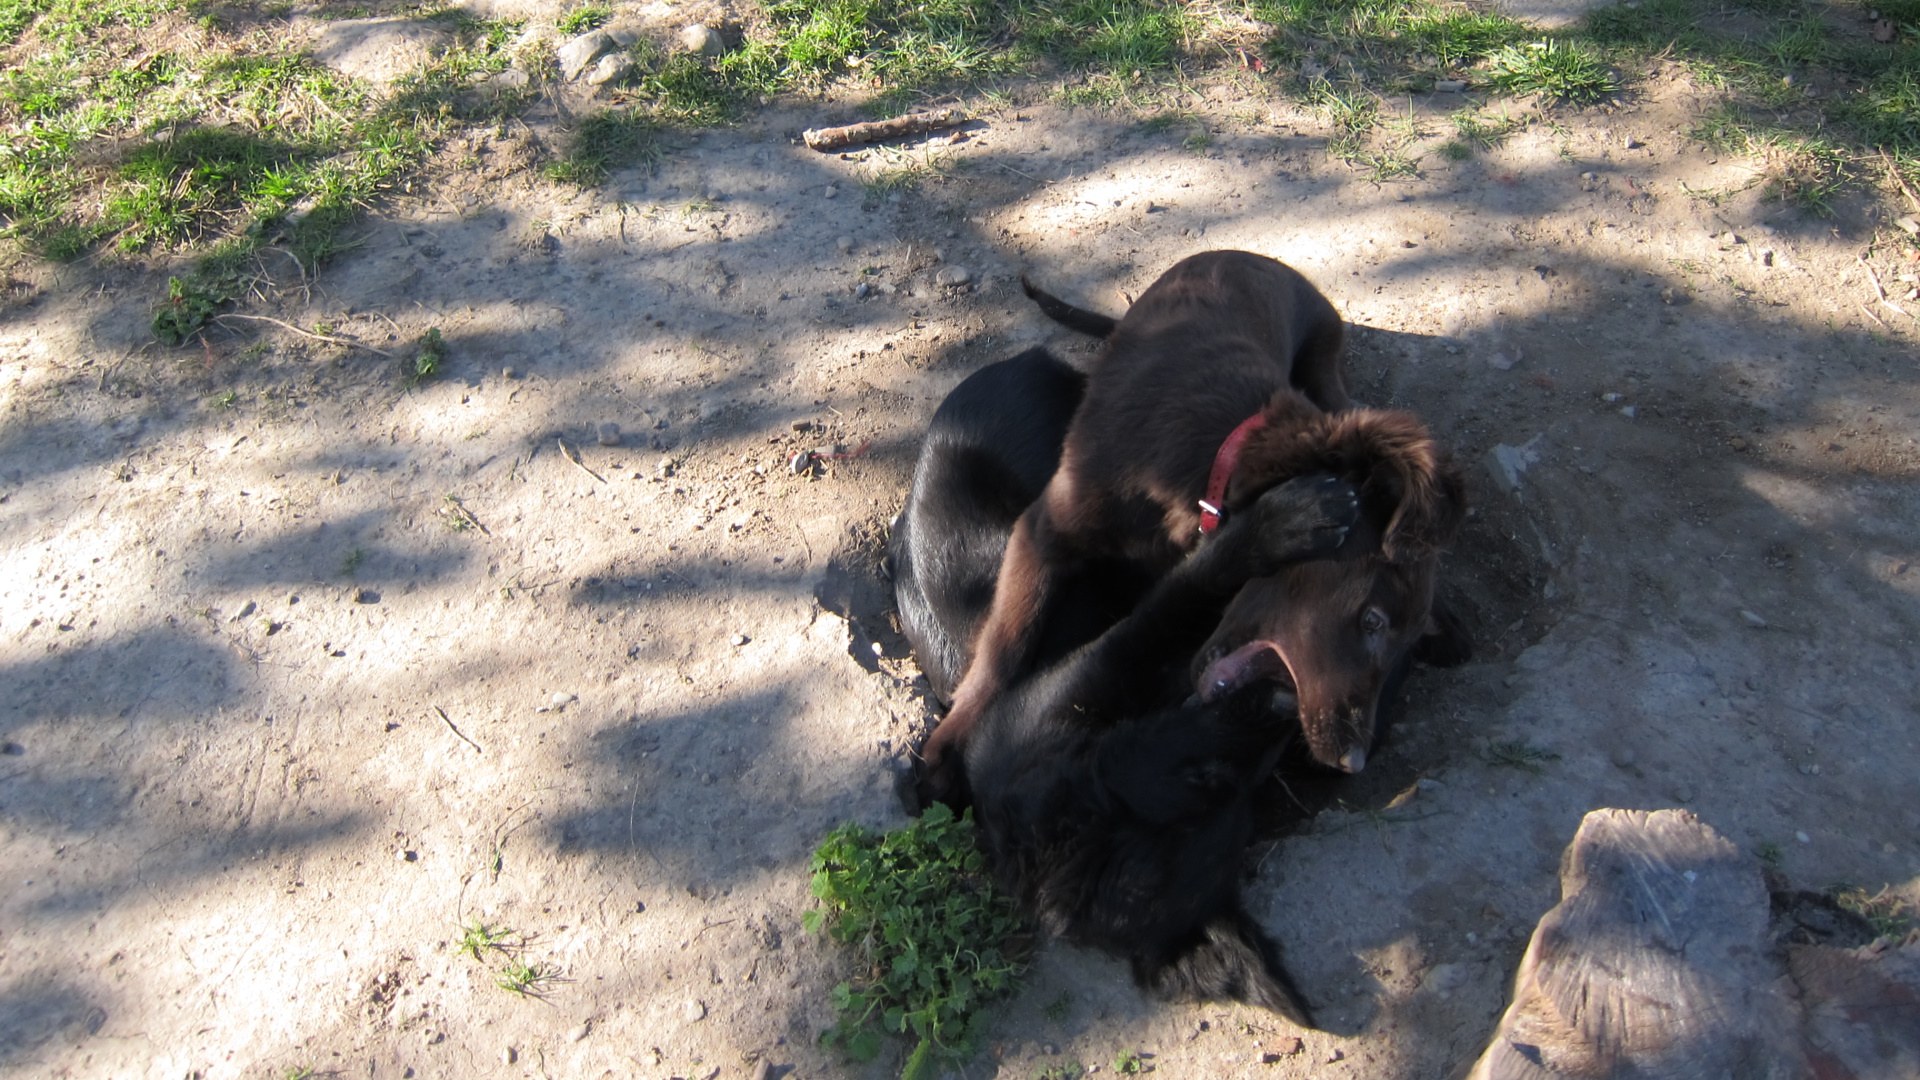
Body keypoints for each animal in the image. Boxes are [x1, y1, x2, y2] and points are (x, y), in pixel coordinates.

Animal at [892, 350, 1360, 1022]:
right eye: (1210, 779)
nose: (1281, 711)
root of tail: (1019, 359)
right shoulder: (1110, 660)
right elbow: (1184, 592)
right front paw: (1280, 527)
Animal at [915, 251, 1469, 806]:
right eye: (1373, 621)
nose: (1352, 761)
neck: (1216, 459)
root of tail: (1248, 256)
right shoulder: (1042, 533)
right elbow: (1006, 646)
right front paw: (952, 742)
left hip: (1325, 367)